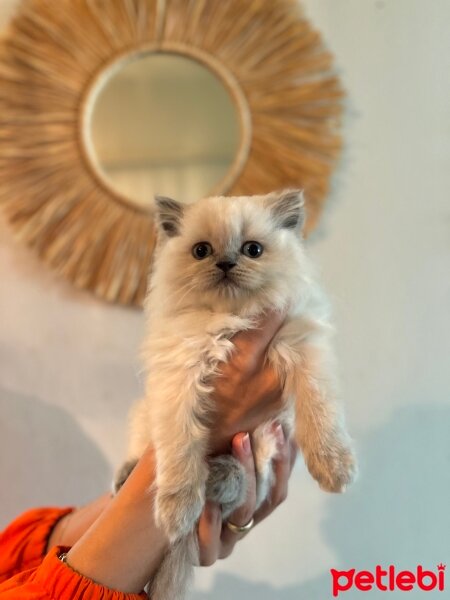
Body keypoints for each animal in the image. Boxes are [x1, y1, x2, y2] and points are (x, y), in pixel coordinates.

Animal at [118, 191, 356, 600]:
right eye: (201, 251)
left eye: (253, 250)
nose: (226, 263)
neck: (231, 321)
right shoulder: (179, 378)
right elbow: (180, 450)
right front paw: (176, 512)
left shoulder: (303, 351)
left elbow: (320, 413)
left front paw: (334, 469)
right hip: (144, 415)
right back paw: (132, 476)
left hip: (261, 440)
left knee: (242, 482)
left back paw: (217, 475)